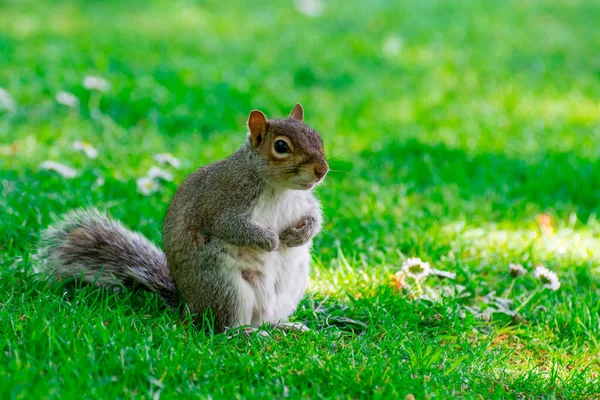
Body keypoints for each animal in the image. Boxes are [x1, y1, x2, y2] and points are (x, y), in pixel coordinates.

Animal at [36, 104, 328, 334]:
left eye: (318, 137)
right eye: (281, 146)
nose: (322, 170)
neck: (281, 188)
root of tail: (188, 308)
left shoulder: (304, 201)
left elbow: (314, 216)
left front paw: (300, 234)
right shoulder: (223, 201)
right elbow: (231, 226)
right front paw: (270, 241)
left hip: (289, 289)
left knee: (264, 319)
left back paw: (284, 325)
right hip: (226, 288)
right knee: (221, 327)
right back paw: (244, 333)